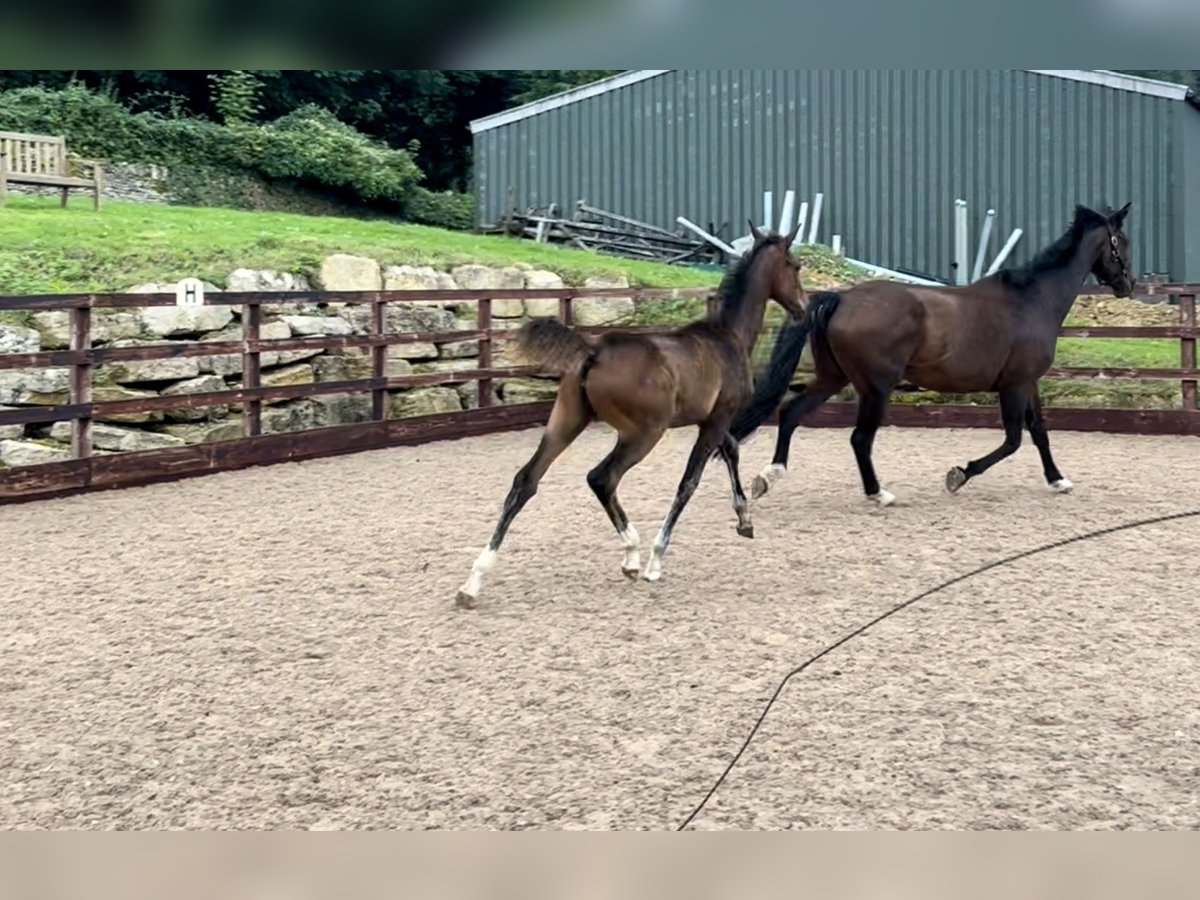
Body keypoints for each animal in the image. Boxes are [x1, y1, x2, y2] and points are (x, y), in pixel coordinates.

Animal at [456, 223, 806, 609]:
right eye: (795, 266)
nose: (803, 308)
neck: (729, 336)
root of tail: (594, 352)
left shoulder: (710, 420)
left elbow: (731, 451)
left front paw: (744, 519)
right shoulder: (717, 420)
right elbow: (689, 483)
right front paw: (657, 560)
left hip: (566, 421)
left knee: (526, 480)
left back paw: (474, 581)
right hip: (643, 433)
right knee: (601, 478)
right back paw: (633, 555)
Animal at [729, 200, 1132, 504]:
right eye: (1121, 242)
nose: (1128, 285)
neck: (1033, 299)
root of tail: (841, 297)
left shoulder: (1027, 382)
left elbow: (1039, 431)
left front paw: (1058, 479)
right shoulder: (1014, 386)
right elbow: (1013, 440)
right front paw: (959, 475)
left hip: (834, 378)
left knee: (790, 412)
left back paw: (768, 477)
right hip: (875, 387)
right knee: (859, 438)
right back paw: (878, 493)